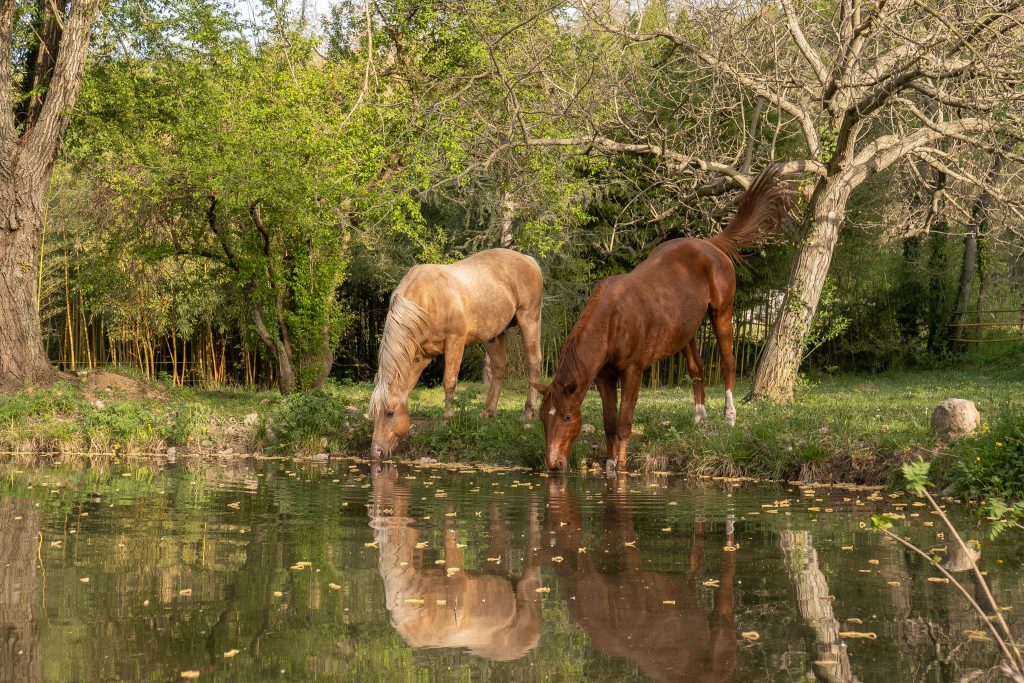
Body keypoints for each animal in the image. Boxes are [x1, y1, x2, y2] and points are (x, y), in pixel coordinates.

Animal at [370, 248, 543, 459]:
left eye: (389, 413)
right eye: (374, 413)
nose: (376, 451)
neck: (427, 300)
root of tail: (528, 259)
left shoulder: (455, 341)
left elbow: (449, 381)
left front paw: (447, 418)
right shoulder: (420, 357)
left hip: (530, 319)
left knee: (534, 362)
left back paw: (528, 412)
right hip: (494, 334)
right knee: (500, 366)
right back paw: (488, 412)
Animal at [532, 167, 791, 471]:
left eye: (567, 417)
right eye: (542, 417)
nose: (554, 464)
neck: (612, 322)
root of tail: (710, 245)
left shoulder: (633, 371)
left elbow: (624, 423)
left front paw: (621, 468)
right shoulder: (604, 378)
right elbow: (609, 424)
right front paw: (609, 465)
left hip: (722, 312)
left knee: (728, 362)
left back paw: (729, 415)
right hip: (686, 329)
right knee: (696, 367)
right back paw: (699, 418)